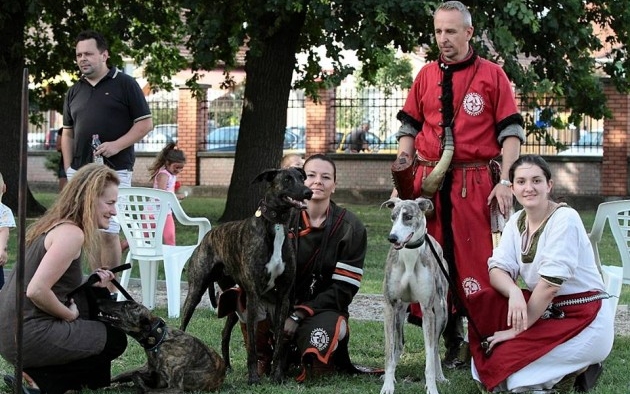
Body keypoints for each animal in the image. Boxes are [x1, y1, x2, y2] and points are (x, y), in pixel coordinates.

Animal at [180, 167, 314, 384]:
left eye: (302, 178)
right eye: (287, 179)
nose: (308, 192)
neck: (276, 225)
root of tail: (208, 235)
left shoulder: (283, 298)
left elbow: (279, 343)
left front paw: (277, 376)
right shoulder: (253, 297)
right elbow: (252, 345)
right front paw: (253, 378)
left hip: (233, 300)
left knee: (225, 332)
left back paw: (226, 366)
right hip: (196, 291)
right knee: (183, 324)